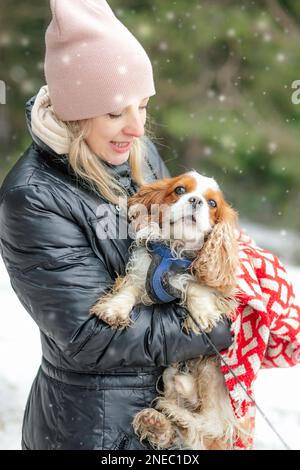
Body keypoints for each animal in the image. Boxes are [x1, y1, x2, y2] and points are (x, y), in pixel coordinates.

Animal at [89, 171, 253, 450]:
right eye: (179, 190)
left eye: (213, 204)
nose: (195, 201)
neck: (176, 251)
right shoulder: (142, 272)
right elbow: (129, 290)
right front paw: (114, 308)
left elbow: (198, 284)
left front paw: (202, 314)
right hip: (175, 375)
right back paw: (157, 422)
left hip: (213, 370)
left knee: (211, 425)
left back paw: (173, 414)